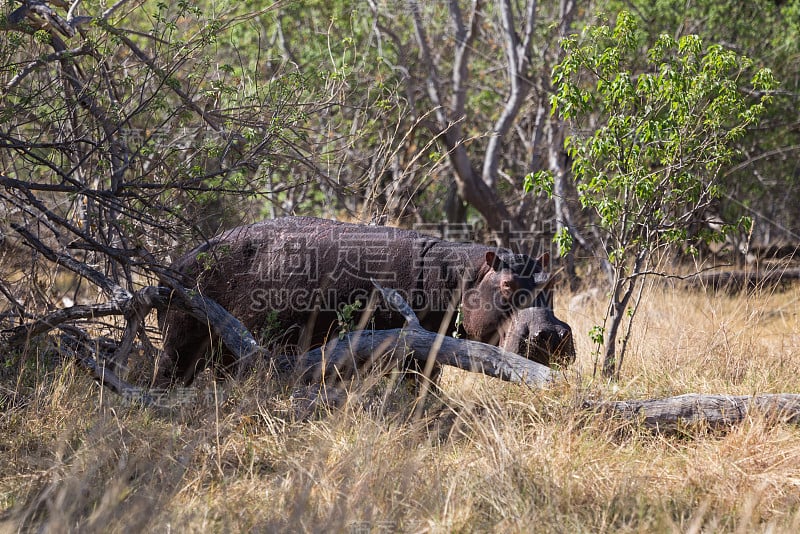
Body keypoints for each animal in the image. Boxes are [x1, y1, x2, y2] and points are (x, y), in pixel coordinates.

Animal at [159, 216, 552, 388]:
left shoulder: (428, 355)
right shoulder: (411, 351)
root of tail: (181, 260)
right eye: (507, 284)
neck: (464, 277)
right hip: (182, 341)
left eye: (549, 282)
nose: (554, 332)